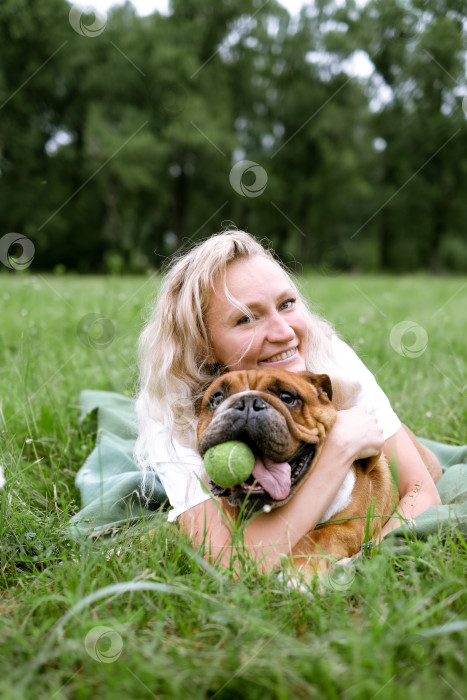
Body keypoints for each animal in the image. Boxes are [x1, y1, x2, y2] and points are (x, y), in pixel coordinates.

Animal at [197, 370, 398, 576]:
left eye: (287, 397)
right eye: (217, 398)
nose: (247, 403)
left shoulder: (352, 526)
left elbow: (317, 537)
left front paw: (295, 574)